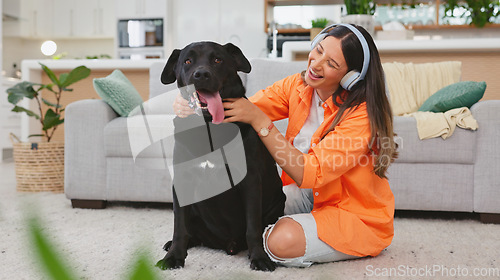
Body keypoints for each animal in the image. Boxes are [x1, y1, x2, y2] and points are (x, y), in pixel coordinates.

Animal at [158, 41, 286, 272]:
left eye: (217, 59)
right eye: (187, 61)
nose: (201, 74)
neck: (209, 125)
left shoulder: (250, 180)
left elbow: (253, 226)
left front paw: (259, 257)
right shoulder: (182, 180)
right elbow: (179, 226)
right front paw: (174, 256)